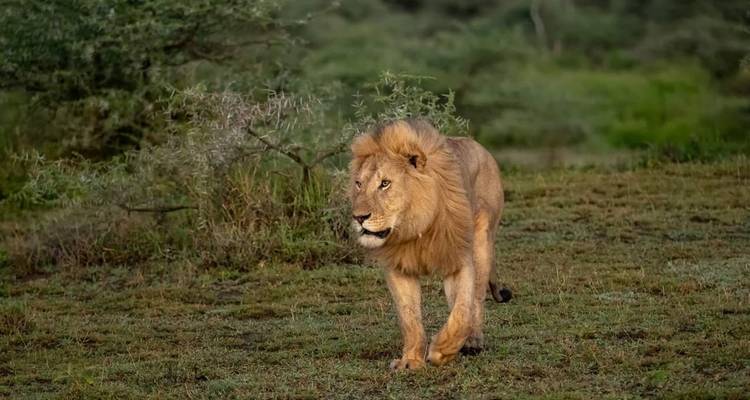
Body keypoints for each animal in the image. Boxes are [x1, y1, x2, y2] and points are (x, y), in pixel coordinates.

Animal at [349, 119, 511, 370]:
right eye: (358, 184)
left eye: (385, 184)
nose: (359, 217)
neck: (416, 225)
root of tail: (482, 149)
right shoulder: (399, 267)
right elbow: (410, 319)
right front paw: (411, 360)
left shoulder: (458, 259)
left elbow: (461, 311)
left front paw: (441, 351)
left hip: (482, 240)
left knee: (476, 298)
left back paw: (473, 341)